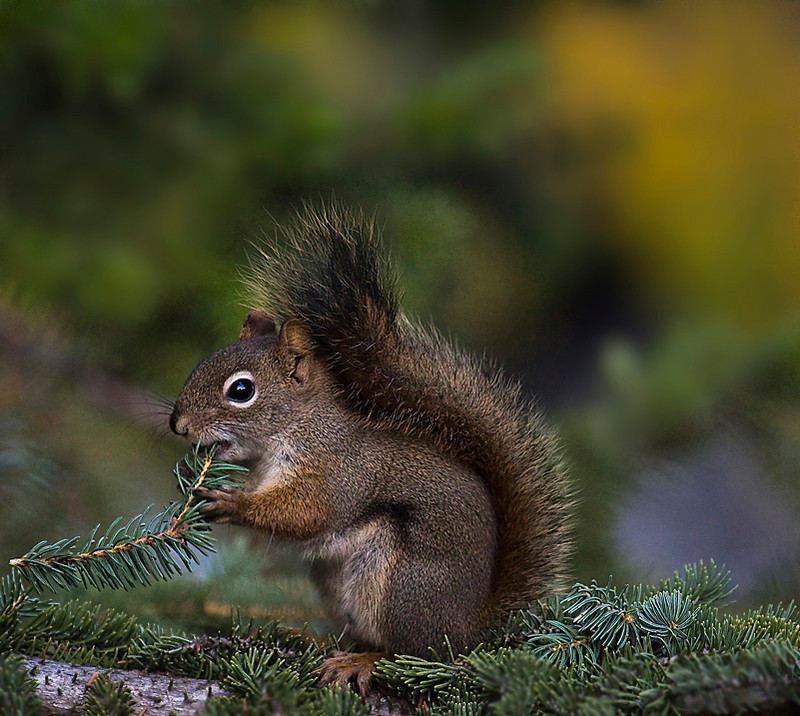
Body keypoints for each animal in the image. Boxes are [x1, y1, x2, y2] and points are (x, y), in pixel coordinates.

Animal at [169, 204, 572, 692]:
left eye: (241, 390)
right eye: (202, 363)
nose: (177, 425)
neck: (295, 429)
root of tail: (468, 628)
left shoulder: (335, 468)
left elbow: (308, 512)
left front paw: (233, 502)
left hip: (398, 584)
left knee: (414, 653)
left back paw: (362, 661)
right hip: (334, 581)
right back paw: (312, 639)